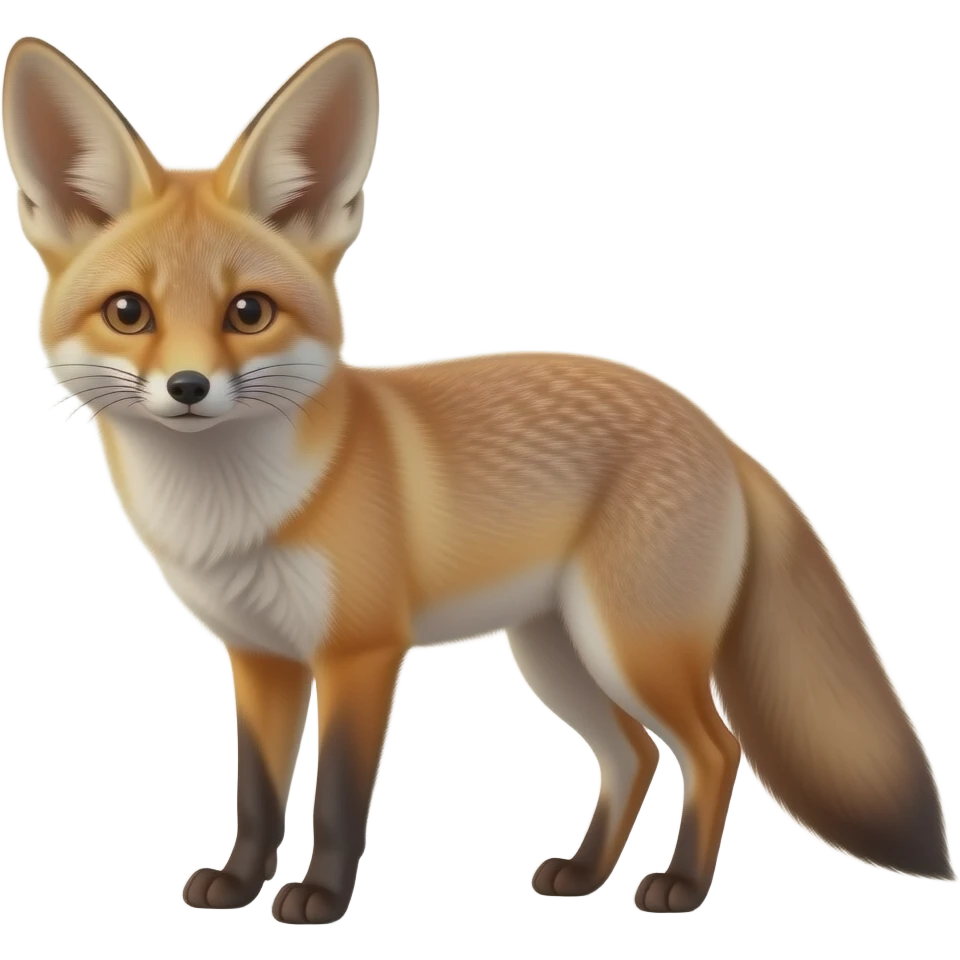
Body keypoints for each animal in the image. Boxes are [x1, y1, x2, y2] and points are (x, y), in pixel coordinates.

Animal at [3, 33, 955, 925]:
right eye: (130, 313)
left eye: (249, 312)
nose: (189, 388)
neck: (240, 509)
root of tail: (713, 428)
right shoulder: (261, 657)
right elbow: (258, 794)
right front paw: (239, 885)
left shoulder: (360, 652)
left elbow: (338, 796)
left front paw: (320, 898)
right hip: (558, 654)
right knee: (634, 754)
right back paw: (584, 876)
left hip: (633, 648)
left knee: (716, 751)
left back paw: (680, 885)